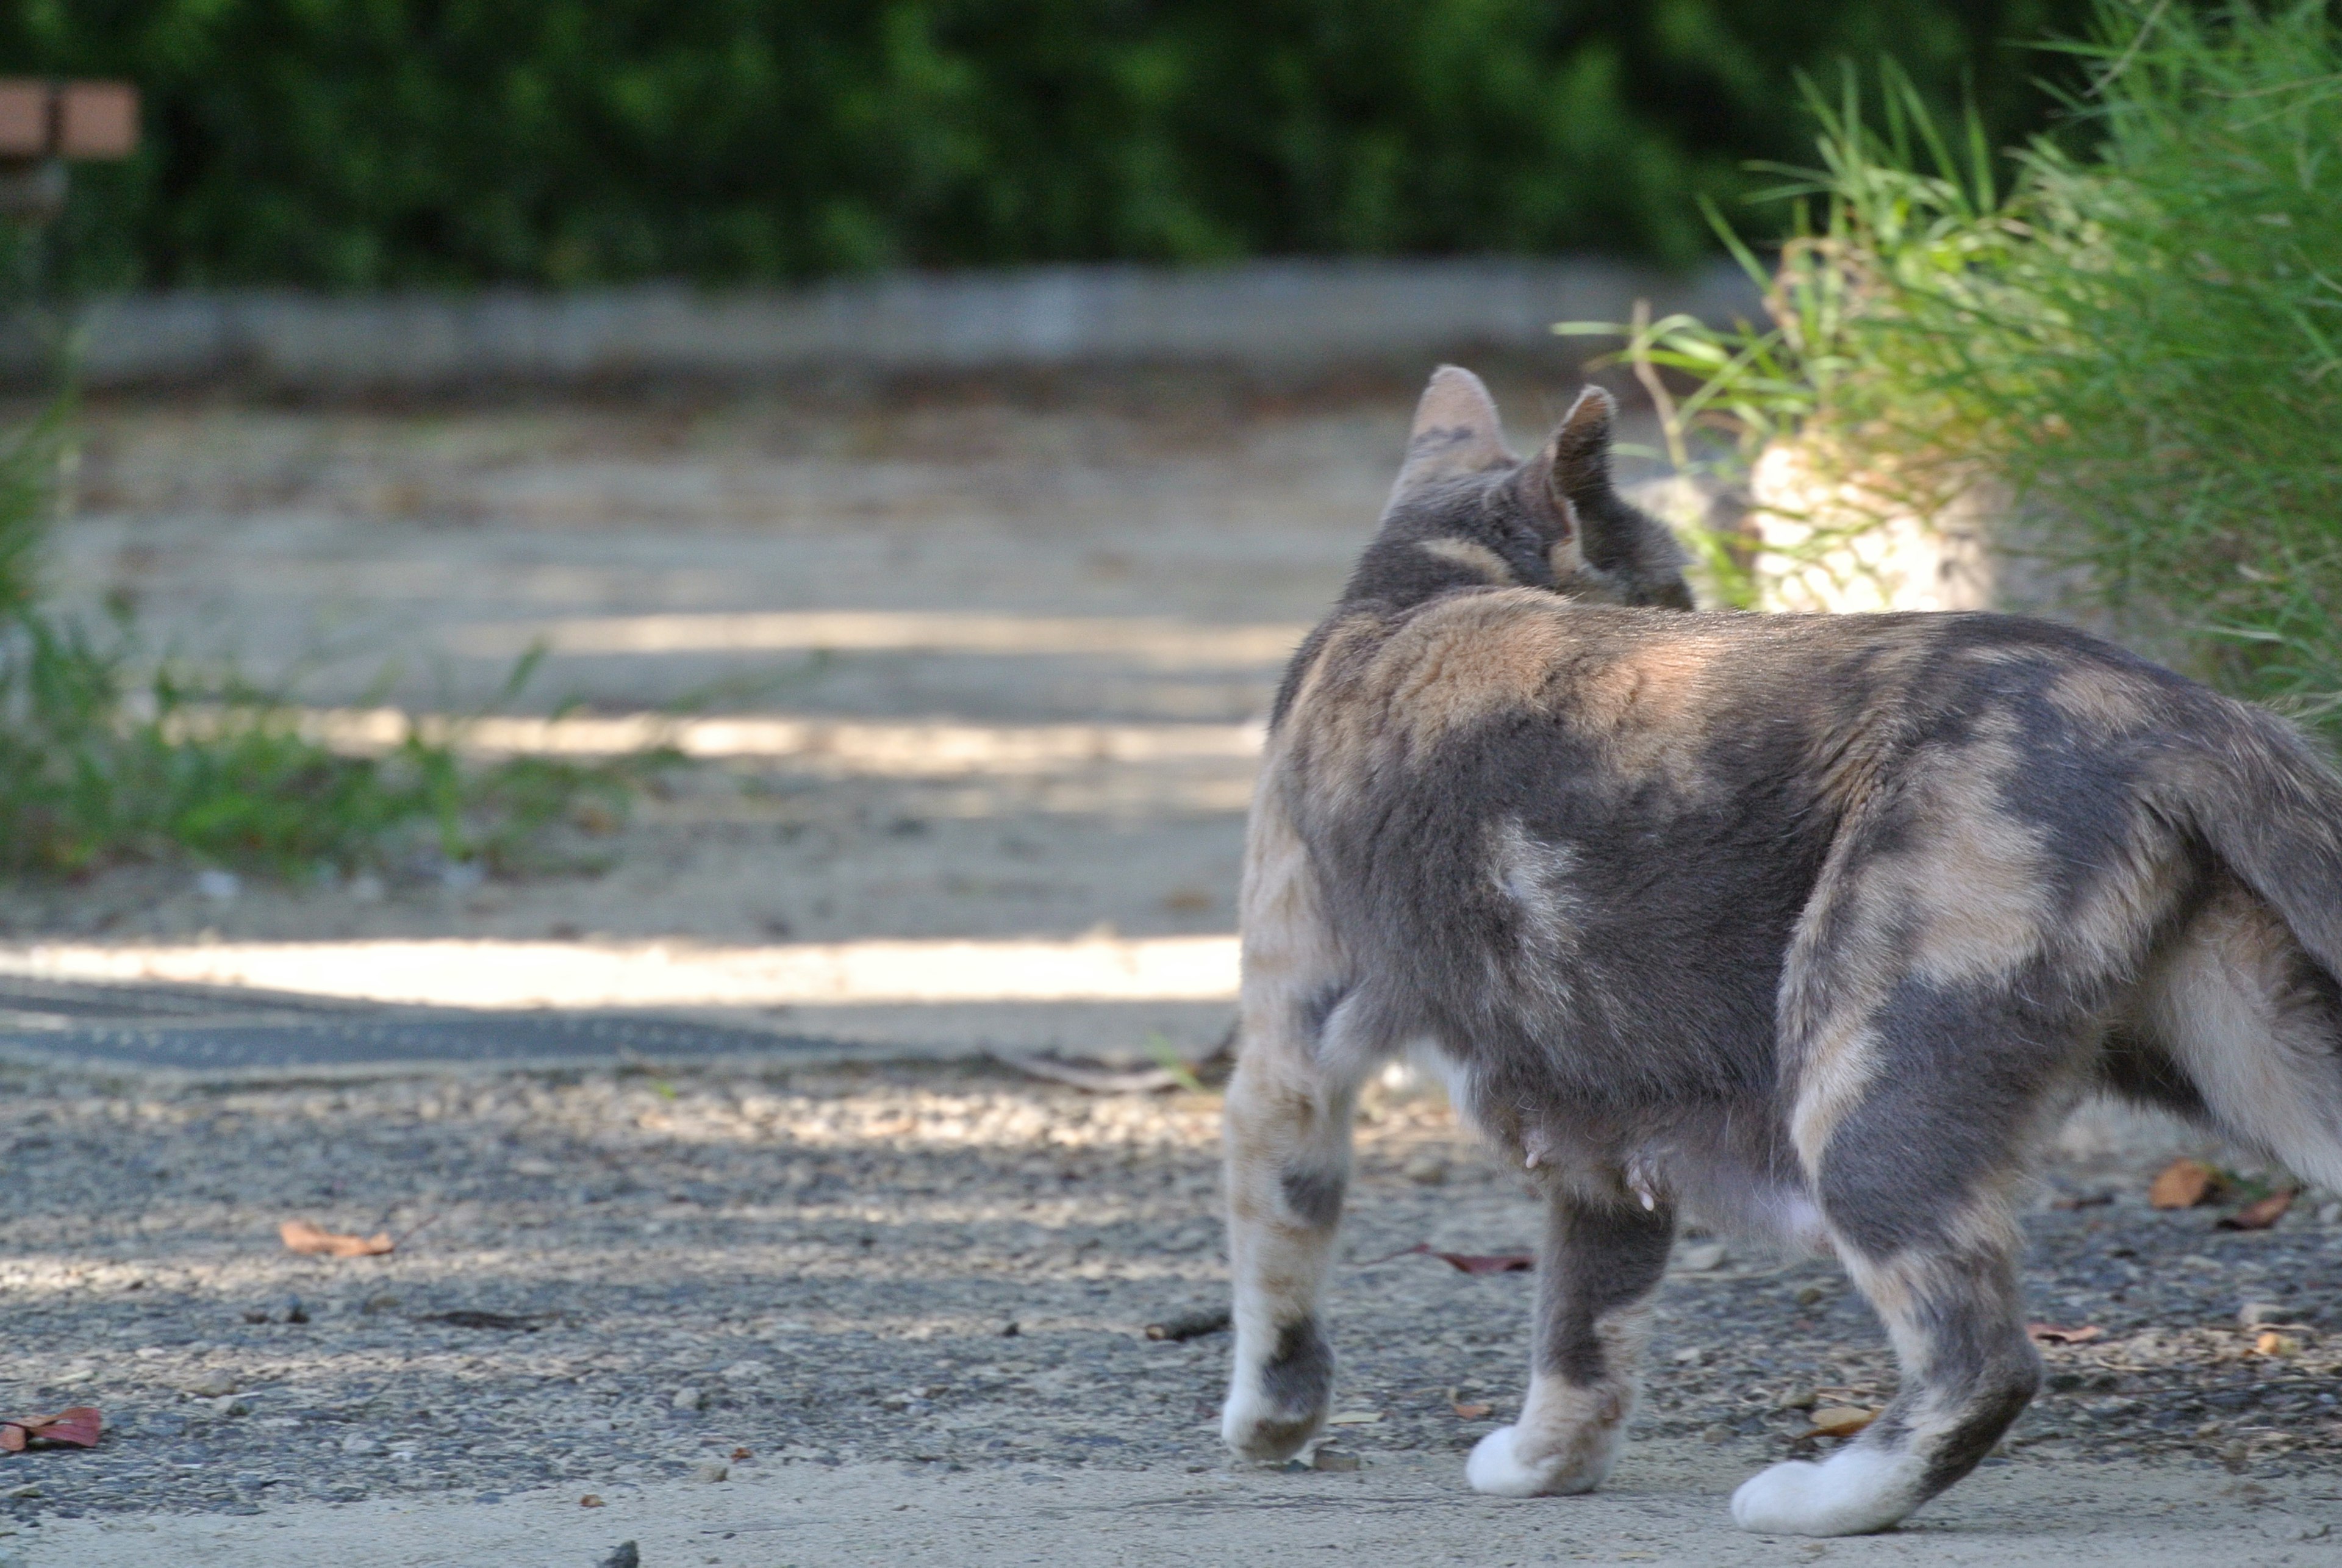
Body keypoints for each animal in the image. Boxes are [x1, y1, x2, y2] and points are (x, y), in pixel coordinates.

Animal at [1217, 365, 2342, 1535]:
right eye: (1667, 580)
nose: (1689, 607)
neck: (1419, 590)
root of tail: (2173, 702)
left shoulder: (1288, 1053)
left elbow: (1276, 1252)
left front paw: (1269, 1425)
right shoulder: (1599, 1122)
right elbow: (1584, 1323)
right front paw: (1545, 1464)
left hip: (1860, 1077)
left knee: (1983, 1358)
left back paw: (1821, 1498)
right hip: (2252, 1055)